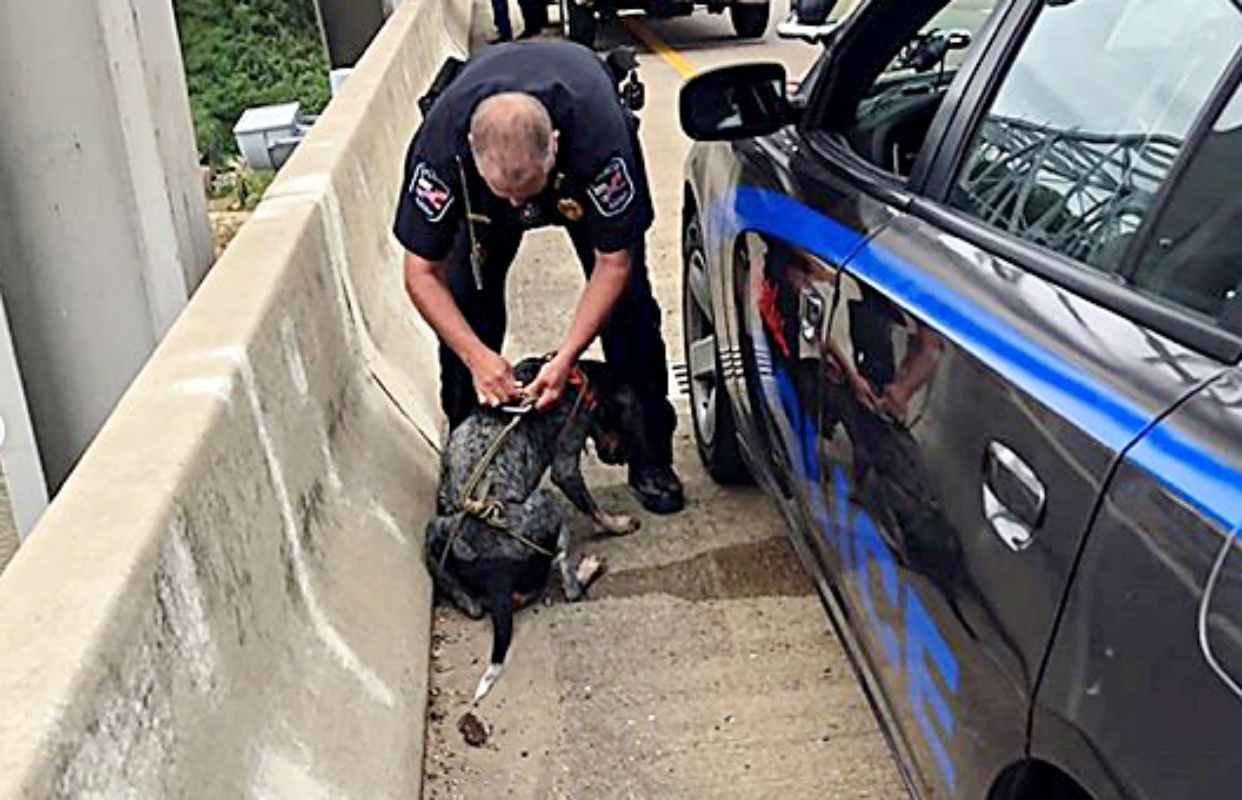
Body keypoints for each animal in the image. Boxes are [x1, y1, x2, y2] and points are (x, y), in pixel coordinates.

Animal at [422, 355, 645, 700]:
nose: (619, 458)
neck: (579, 376)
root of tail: (497, 571)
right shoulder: (566, 459)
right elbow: (594, 509)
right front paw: (617, 525)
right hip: (547, 499)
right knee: (569, 587)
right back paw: (588, 569)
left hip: (437, 528)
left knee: (469, 603)